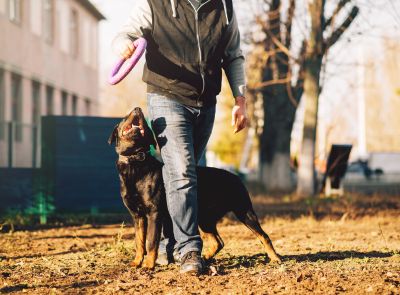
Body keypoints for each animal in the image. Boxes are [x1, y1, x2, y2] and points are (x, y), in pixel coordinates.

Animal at [108, 107, 280, 270]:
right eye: (125, 117)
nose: (138, 109)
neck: (135, 161)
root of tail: (236, 176)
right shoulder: (137, 216)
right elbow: (139, 241)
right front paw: (136, 262)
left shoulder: (154, 213)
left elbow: (150, 242)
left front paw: (148, 265)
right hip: (204, 218)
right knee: (218, 242)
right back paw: (204, 258)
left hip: (243, 211)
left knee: (263, 236)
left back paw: (275, 258)